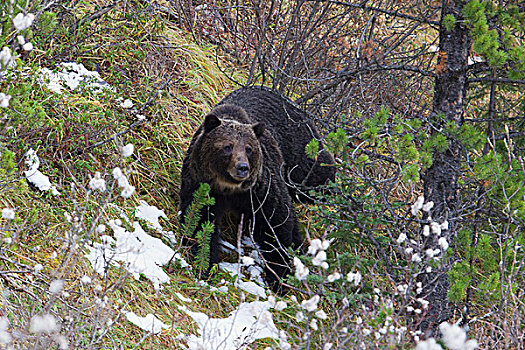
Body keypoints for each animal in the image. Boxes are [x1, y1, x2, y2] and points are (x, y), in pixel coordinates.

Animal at [180, 86, 334, 292]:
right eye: (227, 146)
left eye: (249, 148)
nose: (242, 167)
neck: (229, 188)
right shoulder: (202, 186)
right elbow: (199, 221)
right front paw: (205, 265)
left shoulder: (260, 190)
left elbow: (276, 224)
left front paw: (280, 276)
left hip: (299, 151)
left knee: (317, 173)